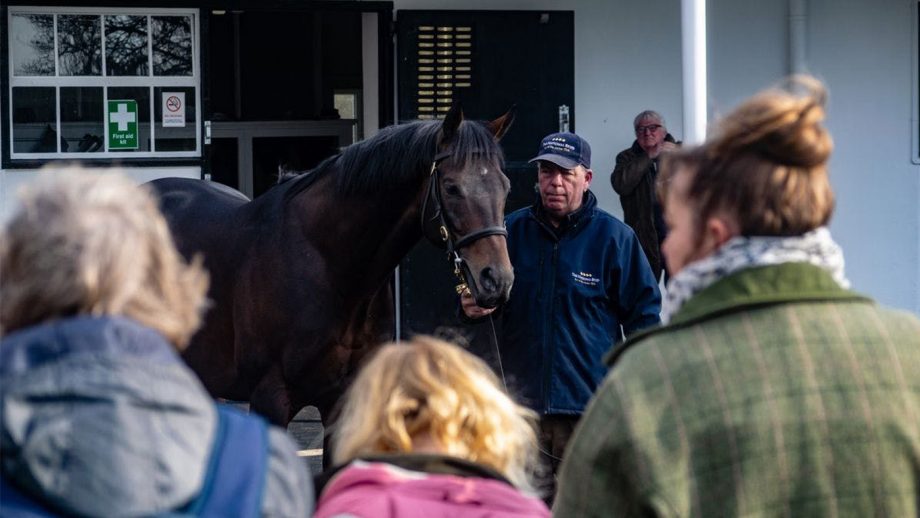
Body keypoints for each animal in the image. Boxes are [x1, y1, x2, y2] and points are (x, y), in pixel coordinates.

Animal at [147, 105, 512, 426]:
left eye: (505, 186)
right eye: (451, 188)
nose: (497, 280)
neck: (329, 264)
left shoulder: (342, 400)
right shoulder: (270, 398)